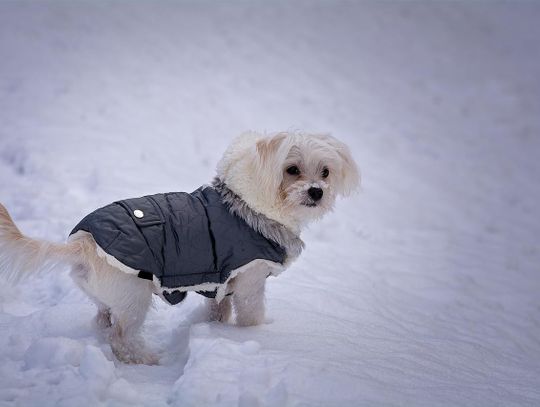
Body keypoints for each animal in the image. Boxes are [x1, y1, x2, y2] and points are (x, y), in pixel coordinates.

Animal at [2, 132, 360, 364]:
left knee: (103, 321)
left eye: (325, 172)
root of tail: (83, 243)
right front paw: (256, 336)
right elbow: (251, 314)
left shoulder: (222, 283)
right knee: (122, 338)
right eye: (292, 170)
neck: (247, 207)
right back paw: (147, 359)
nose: (316, 191)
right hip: (133, 296)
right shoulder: (250, 281)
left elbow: (218, 309)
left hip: (108, 298)